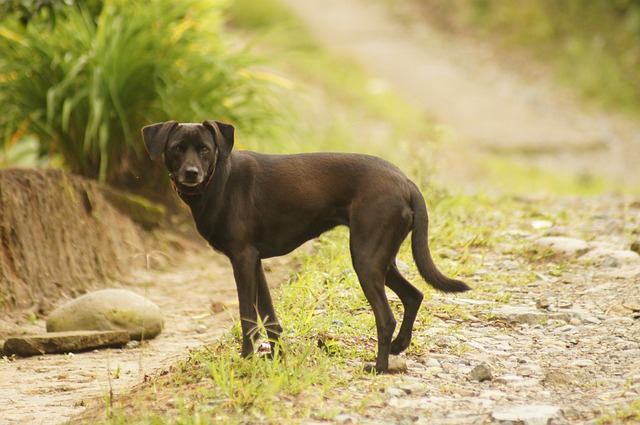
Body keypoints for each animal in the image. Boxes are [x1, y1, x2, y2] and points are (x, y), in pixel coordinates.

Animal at [141, 120, 470, 372]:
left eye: (205, 150)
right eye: (177, 149)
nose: (191, 173)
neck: (218, 182)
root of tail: (406, 182)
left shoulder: (242, 259)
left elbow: (248, 317)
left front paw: (246, 359)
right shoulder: (254, 261)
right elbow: (269, 317)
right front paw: (275, 357)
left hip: (365, 259)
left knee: (386, 317)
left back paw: (379, 367)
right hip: (381, 259)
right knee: (414, 294)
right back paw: (400, 346)